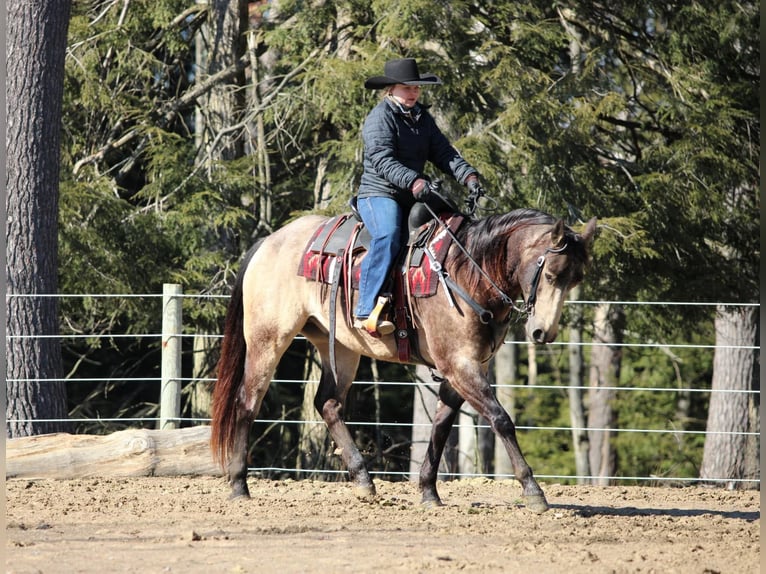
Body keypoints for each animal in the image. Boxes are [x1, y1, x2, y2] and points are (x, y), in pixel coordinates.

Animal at [212, 200, 600, 516]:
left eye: (576, 279)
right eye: (550, 273)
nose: (543, 333)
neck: (466, 272)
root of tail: (269, 242)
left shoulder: (464, 368)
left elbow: (441, 426)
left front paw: (429, 492)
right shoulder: (460, 365)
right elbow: (501, 419)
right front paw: (534, 492)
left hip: (340, 346)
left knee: (328, 403)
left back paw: (364, 481)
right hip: (267, 339)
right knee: (247, 401)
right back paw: (239, 485)